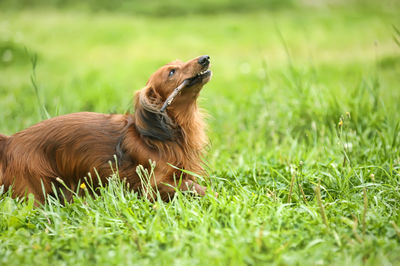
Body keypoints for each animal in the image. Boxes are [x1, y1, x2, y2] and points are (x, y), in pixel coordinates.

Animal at [0, 54, 212, 204]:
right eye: (172, 73)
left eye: (180, 63)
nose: (205, 58)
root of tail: (10, 141)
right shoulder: (152, 186)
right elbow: (191, 185)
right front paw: (213, 194)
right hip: (34, 191)